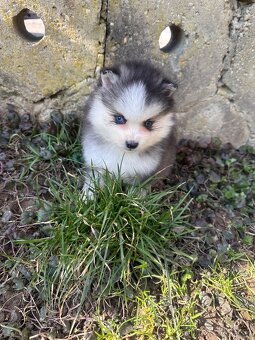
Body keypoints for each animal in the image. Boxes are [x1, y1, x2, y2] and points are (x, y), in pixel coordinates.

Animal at [81, 60, 177, 198]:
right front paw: (86, 198)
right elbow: (92, 183)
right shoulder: (97, 163)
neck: (123, 155)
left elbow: (135, 195)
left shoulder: (143, 174)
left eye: (148, 123)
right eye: (119, 118)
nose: (131, 144)